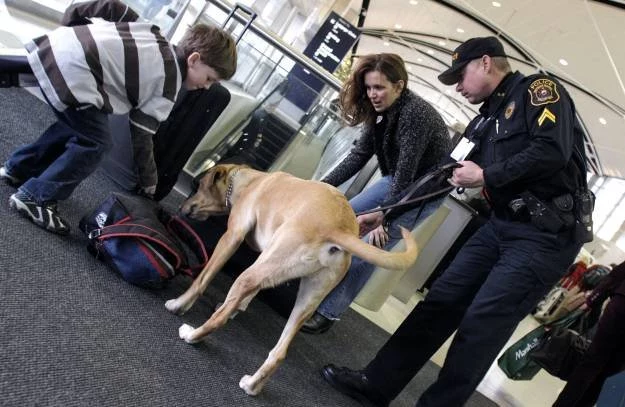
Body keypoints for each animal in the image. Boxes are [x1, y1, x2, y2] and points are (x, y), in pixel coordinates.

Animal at [163, 164, 416, 396]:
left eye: (197, 186)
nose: (181, 208)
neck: (251, 181)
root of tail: (338, 228)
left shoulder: (232, 237)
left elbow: (202, 280)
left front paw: (180, 304)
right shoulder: (264, 263)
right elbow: (246, 298)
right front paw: (236, 306)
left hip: (254, 273)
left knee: (219, 319)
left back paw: (192, 335)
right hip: (306, 297)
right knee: (279, 353)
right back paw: (252, 385)